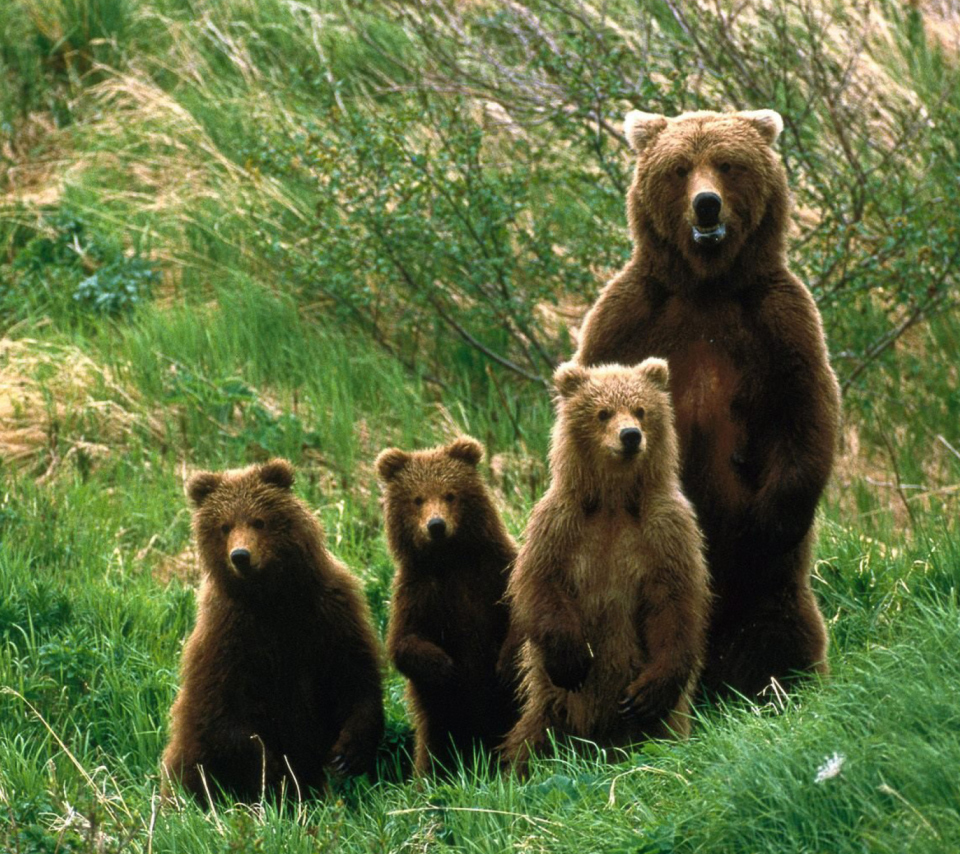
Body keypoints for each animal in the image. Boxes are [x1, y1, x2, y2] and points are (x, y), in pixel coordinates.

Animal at [160, 462, 382, 804]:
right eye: (224, 526)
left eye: (258, 520)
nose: (241, 556)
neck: (272, 598)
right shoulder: (229, 635)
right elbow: (222, 709)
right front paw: (273, 770)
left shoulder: (328, 613)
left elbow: (354, 673)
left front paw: (349, 752)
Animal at [376, 438, 520, 780]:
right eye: (417, 499)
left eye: (450, 494)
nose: (436, 525)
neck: (450, 560)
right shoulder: (418, 592)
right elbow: (403, 642)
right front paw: (444, 666)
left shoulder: (494, 573)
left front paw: (504, 663)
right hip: (440, 719)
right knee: (434, 748)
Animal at [502, 358, 712, 772]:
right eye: (602, 412)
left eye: (641, 410)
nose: (630, 436)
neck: (614, 501)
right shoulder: (561, 525)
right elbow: (539, 585)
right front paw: (573, 658)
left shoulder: (666, 531)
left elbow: (675, 602)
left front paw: (648, 692)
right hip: (552, 708)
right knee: (531, 739)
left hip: (657, 727)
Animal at [576, 108, 840, 696]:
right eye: (679, 168)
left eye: (727, 163)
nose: (707, 204)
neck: (707, 285)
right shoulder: (629, 316)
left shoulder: (778, 320)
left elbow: (804, 409)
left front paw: (770, 522)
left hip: (770, 593)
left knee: (781, 625)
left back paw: (778, 683)